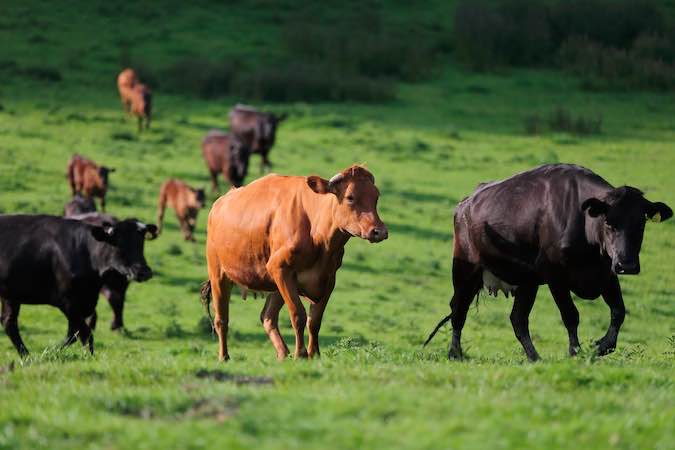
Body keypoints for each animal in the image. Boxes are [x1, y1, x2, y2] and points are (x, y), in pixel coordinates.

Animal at [0, 214, 158, 356]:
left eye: (141, 242)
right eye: (118, 242)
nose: (143, 271)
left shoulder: (84, 302)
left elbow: (74, 334)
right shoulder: (67, 302)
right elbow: (84, 334)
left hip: (10, 294)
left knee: (9, 323)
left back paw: (26, 357)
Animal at [201, 163, 388, 360]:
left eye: (376, 196)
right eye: (350, 197)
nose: (379, 231)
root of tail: (219, 203)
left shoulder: (328, 278)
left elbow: (315, 321)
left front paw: (315, 354)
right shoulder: (280, 268)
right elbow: (298, 315)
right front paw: (301, 354)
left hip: (276, 286)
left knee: (268, 317)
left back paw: (283, 355)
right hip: (218, 274)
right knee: (221, 319)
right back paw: (224, 357)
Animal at [426, 163, 672, 360]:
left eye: (641, 224)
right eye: (608, 223)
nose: (627, 265)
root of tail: (465, 203)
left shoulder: (607, 274)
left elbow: (618, 312)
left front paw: (601, 346)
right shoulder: (556, 276)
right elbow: (571, 315)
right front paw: (575, 352)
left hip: (527, 281)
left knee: (518, 319)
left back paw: (534, 357)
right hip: (466, 270)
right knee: (459, 310)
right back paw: (455, 353)